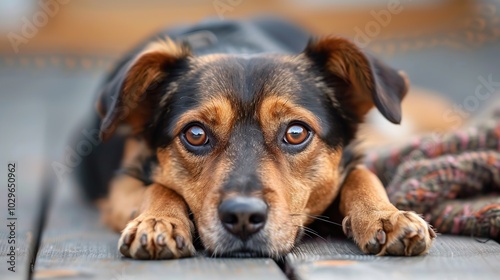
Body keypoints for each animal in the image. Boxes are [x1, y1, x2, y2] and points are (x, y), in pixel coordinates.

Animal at [82, 18, 434, 260]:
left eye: (296, 133)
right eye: (195, 134)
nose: (242, 217)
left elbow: (362, 174)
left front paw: (385, 215)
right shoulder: (121, 181)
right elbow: (157, 187)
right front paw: (158, 222)